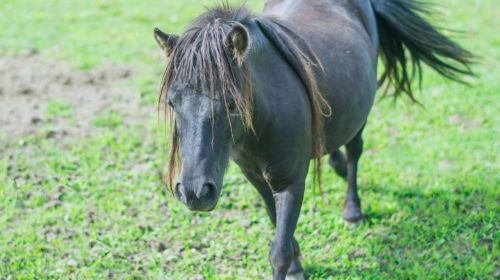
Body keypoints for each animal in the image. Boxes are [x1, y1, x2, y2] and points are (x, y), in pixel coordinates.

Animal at [152, 1, 472, 278]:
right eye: (172, 103)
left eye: (232, 104)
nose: (195, 192)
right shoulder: (256, 177)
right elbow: (277, 225)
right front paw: (297, 264)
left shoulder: (291, 181)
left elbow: (278, 251)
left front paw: (292, 267)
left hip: (361, 116)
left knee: (355, 153)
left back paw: (352, 210)